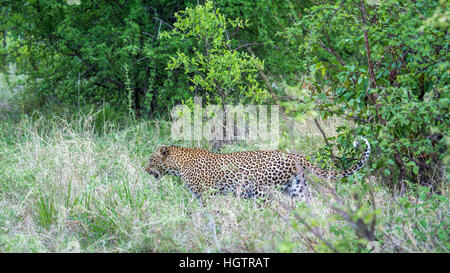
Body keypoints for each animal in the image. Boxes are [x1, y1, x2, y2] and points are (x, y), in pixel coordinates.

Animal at [144, 137, 370, 201]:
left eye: (151, 159)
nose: (145, 169)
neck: (178, 165)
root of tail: (294, 155)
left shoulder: (207, 193)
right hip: (297, 189)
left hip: (263, 190)